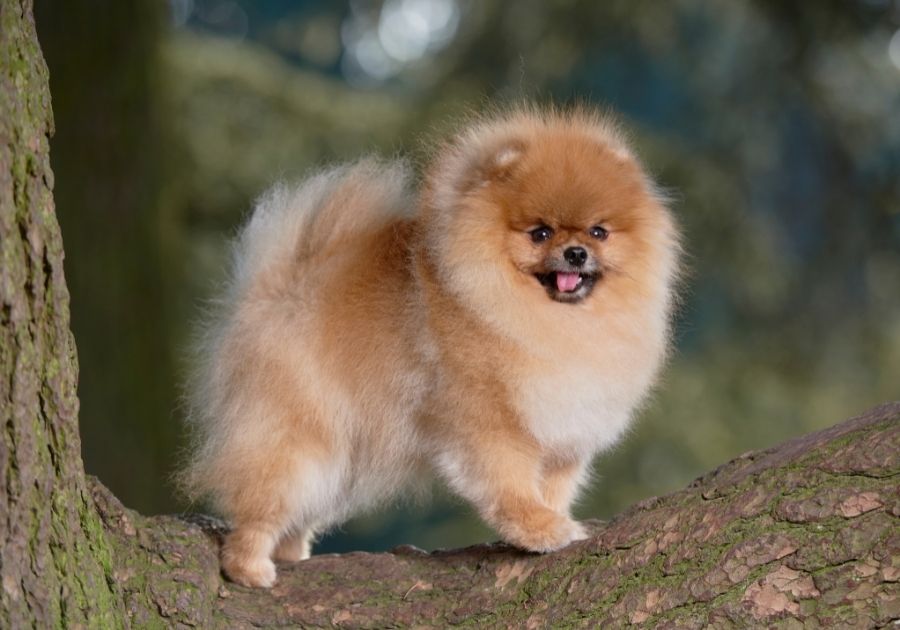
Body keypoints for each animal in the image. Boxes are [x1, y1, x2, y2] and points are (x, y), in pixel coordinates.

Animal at [183, 107, 680, 588]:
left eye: (599, 232)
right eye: (539, 233)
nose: (576, 252)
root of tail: (280, 283)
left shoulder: (564, 430)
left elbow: (554, 487)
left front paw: (555, 519)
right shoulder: (490, 420)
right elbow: (510, 483)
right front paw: (538, 529)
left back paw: (290, 555)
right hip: (299, 437)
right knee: (263, 499)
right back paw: (249, 568)